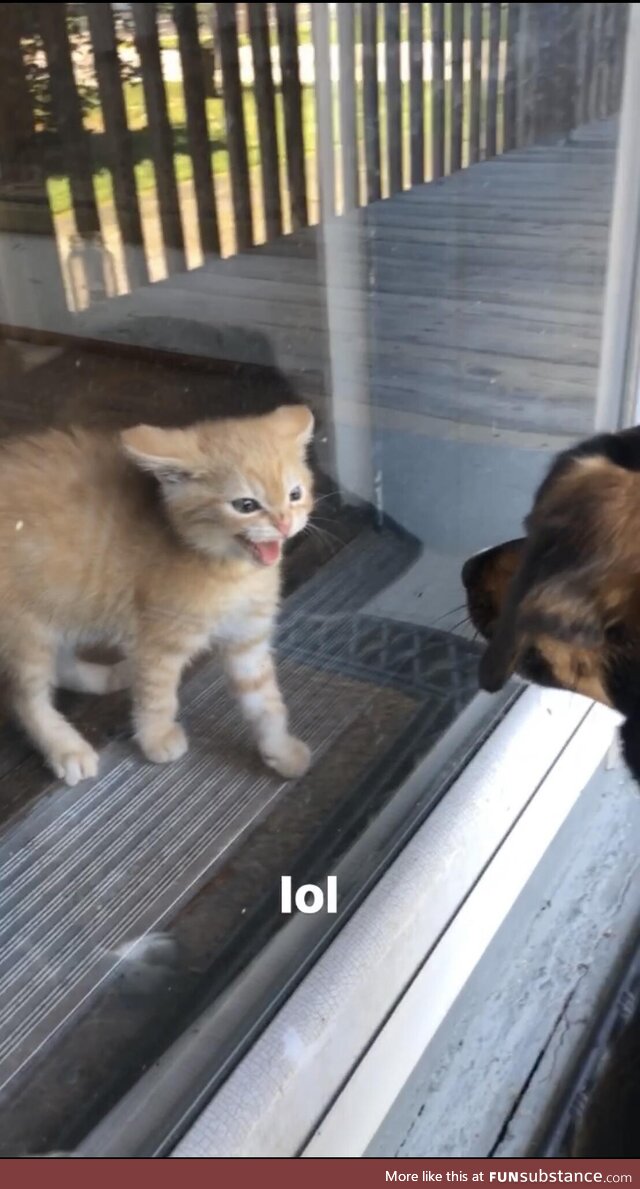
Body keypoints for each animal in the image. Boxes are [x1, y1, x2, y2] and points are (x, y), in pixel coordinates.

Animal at [0, 404, 314, 784]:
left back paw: (105, 678)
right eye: (245, 505)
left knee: (58, 662)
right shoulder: (157, 640)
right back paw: (66, 748)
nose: (284, 524)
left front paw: (280, 748)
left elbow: (264, 700)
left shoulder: (248, 639)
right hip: (24, 628)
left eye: (295, 494)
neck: (233, 574)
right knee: (24, 697)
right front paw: (156, 737)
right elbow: (157, 695)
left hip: (60, 603)